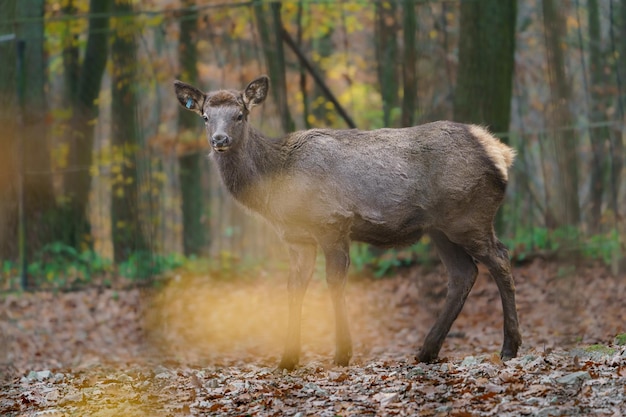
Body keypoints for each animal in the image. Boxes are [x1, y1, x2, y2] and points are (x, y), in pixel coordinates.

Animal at [173, 76, 520, 368]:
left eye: (240, 115)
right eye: (205, 117)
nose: (219, 139)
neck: (277, 189)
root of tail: (501, 152)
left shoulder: (332, 222)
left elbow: (334, 283)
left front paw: (342, 353)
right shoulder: (297, 239)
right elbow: (294, 288)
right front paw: (288, 359)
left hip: (469, 216)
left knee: (500, 258)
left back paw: (509, 347)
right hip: (440, 228)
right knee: (463, 273)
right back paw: (427, 351)